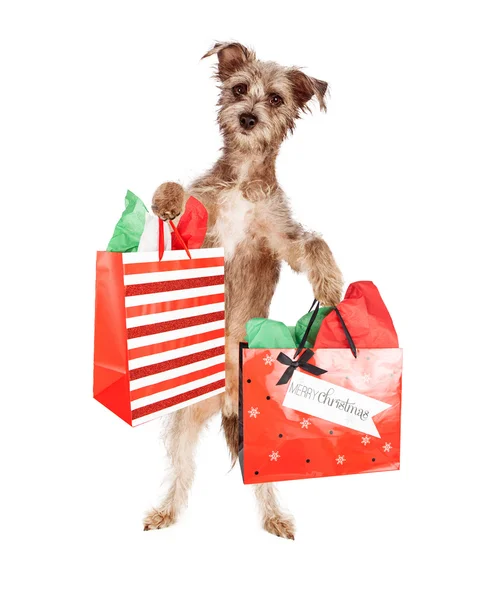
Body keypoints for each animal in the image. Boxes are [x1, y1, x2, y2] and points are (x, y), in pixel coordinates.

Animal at [143, 42, 344, 540]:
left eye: (275, 98)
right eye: (238, 88)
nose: (248, 118)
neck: (242, 178)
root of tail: (227, 399)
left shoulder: (280, 240)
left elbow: (314, 243)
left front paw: (330, 282)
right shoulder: (199, 231)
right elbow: (180, 189)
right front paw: (166, 198)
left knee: (263, 479)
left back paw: (275, 517)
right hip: (183, 423)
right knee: (181, 473)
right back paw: (165, 512)